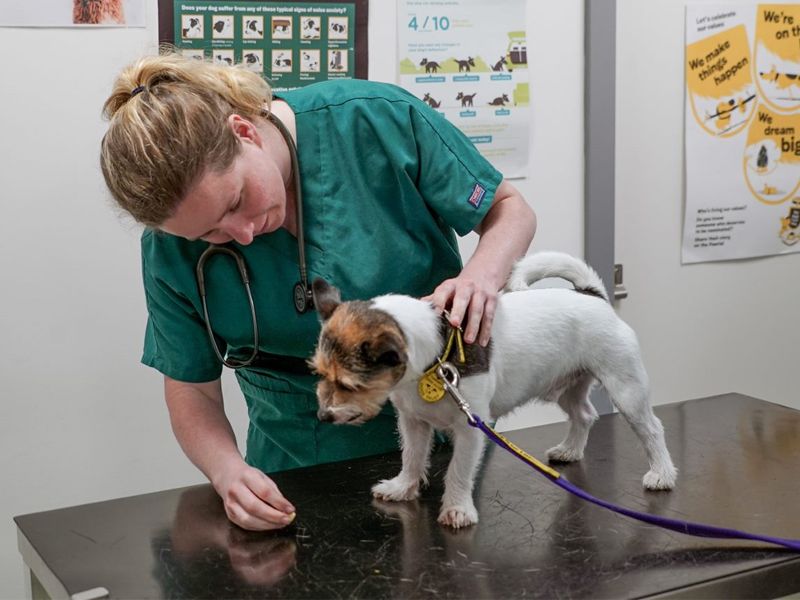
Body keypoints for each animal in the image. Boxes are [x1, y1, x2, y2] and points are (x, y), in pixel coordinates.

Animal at [310, 251, 680, 528]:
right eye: (320, 373)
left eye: (348, 384)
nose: (323, 416)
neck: (434, 357)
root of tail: (593, 295)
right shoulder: (413, 422)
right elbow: (412, 457)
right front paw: (404, 487)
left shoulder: (471, 427)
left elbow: (459, 471)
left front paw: (457, 509)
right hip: (567, 386)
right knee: (585, 414)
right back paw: (571, 450)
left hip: (626, 388)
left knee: (652, 428)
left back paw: (662, 473)